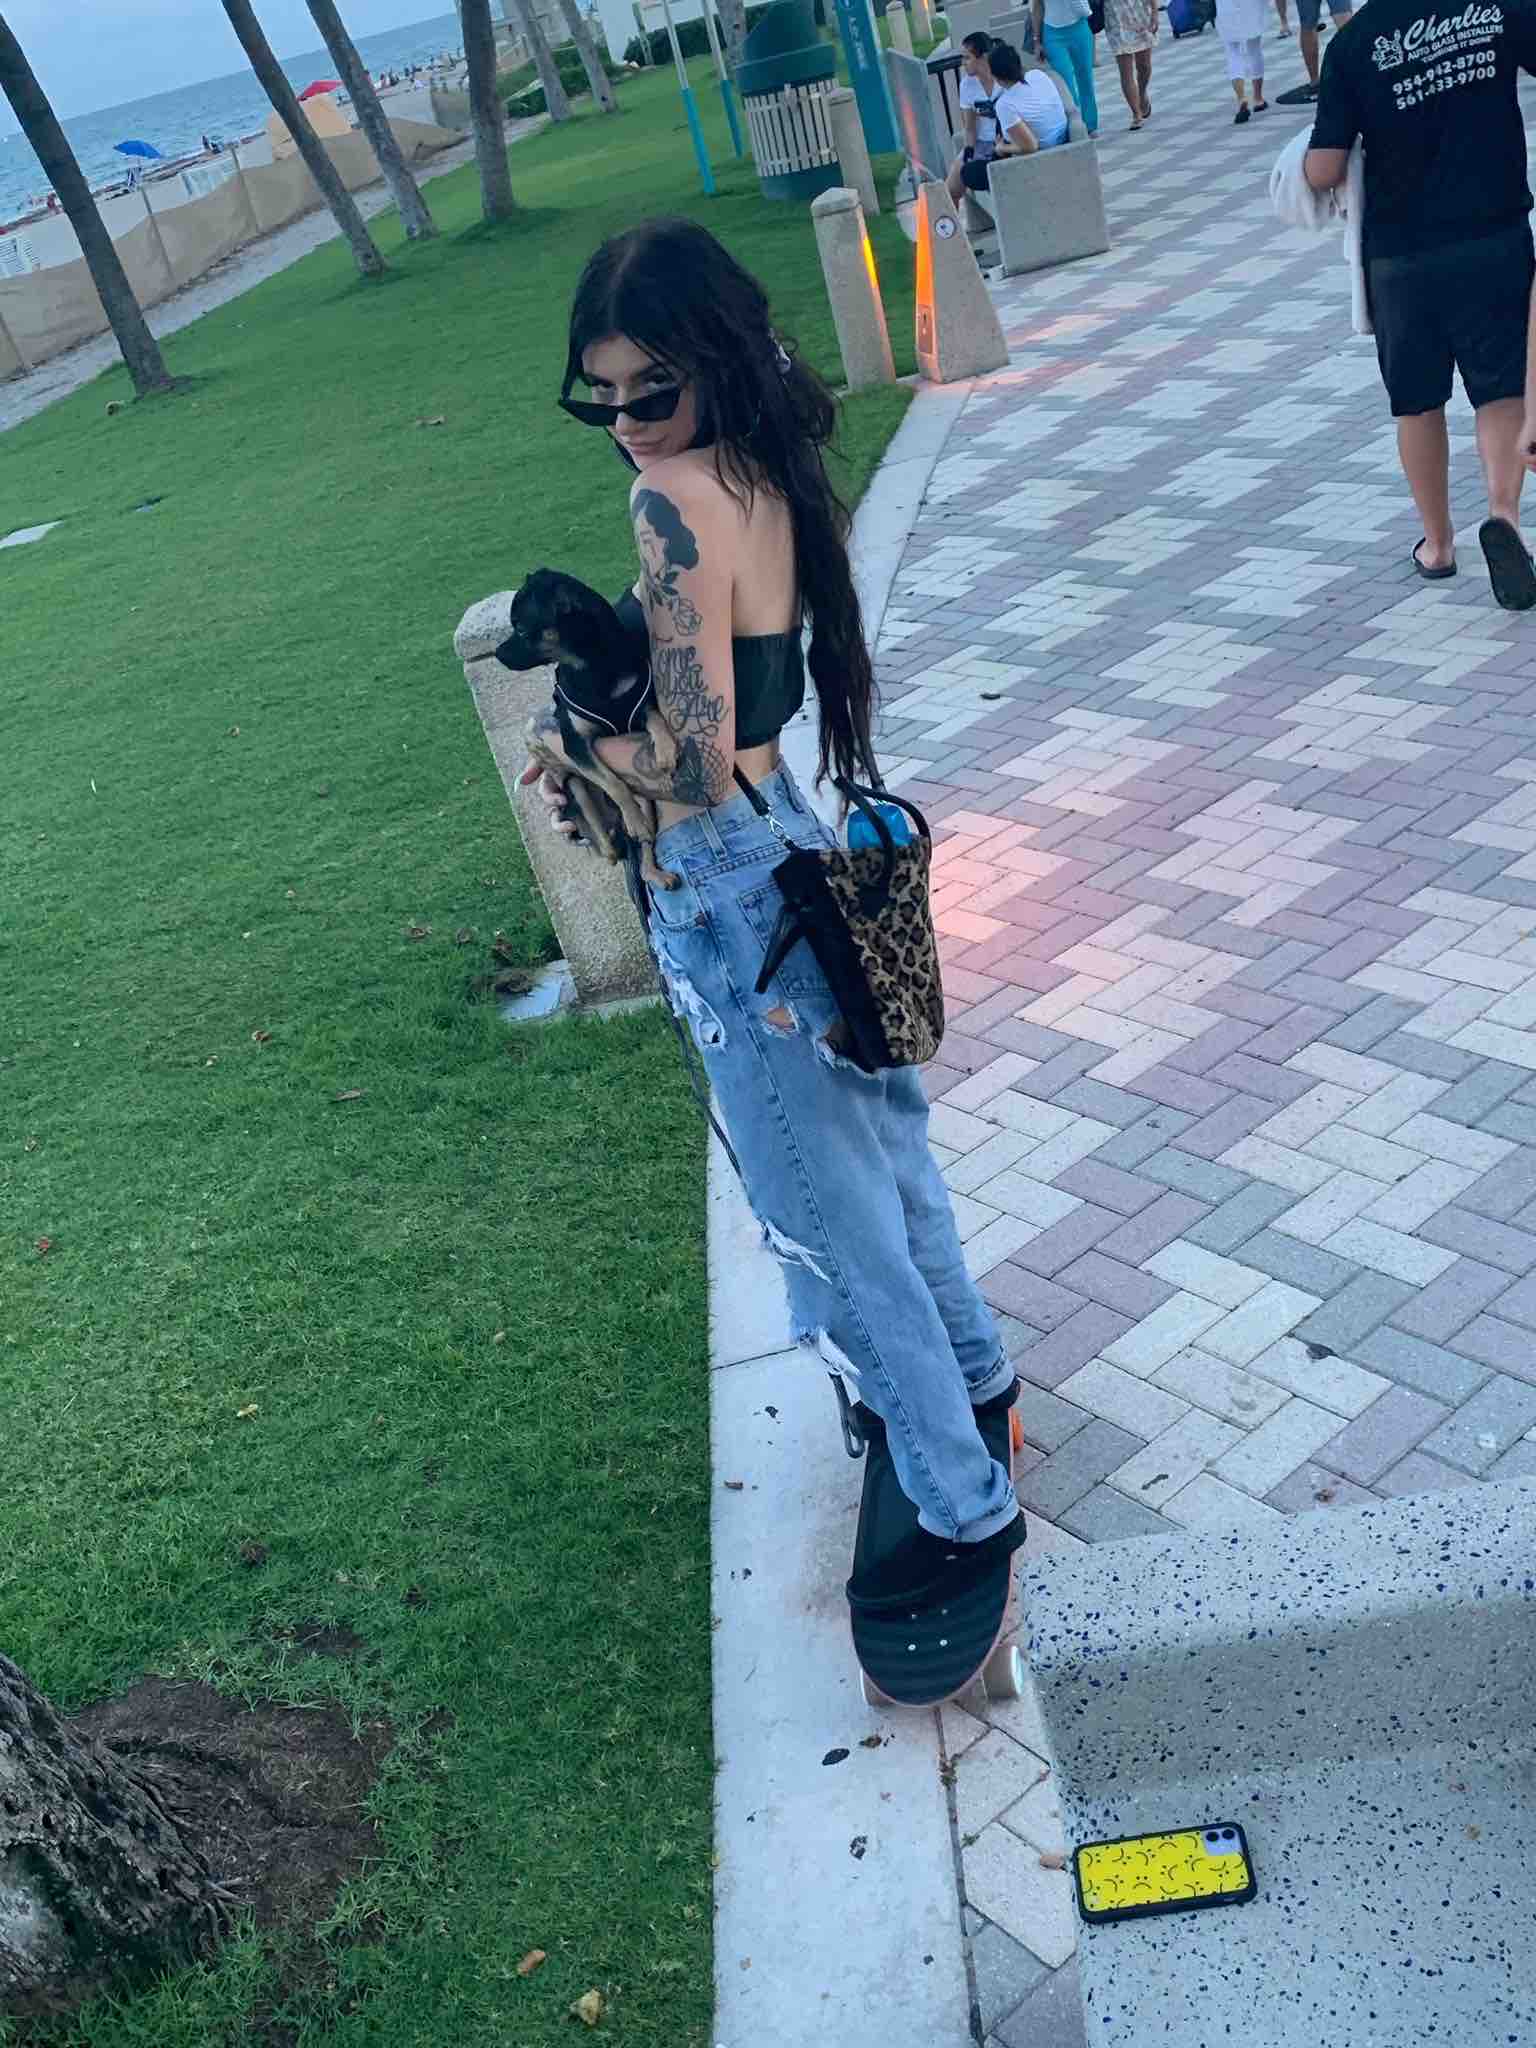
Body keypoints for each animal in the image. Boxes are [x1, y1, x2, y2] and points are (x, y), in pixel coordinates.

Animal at [495, 568, 680, 890]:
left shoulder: (640, 710)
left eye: (520, 628)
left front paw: (666, 750)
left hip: (647, 799)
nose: (496, 652)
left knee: (643, 849)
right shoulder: (575, 745)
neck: (594, 668)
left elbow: (656, 717)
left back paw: (655, 868)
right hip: (575, 786)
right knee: (606, 843)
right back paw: (616, 839)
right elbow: (613, 782)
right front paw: (632, 817)